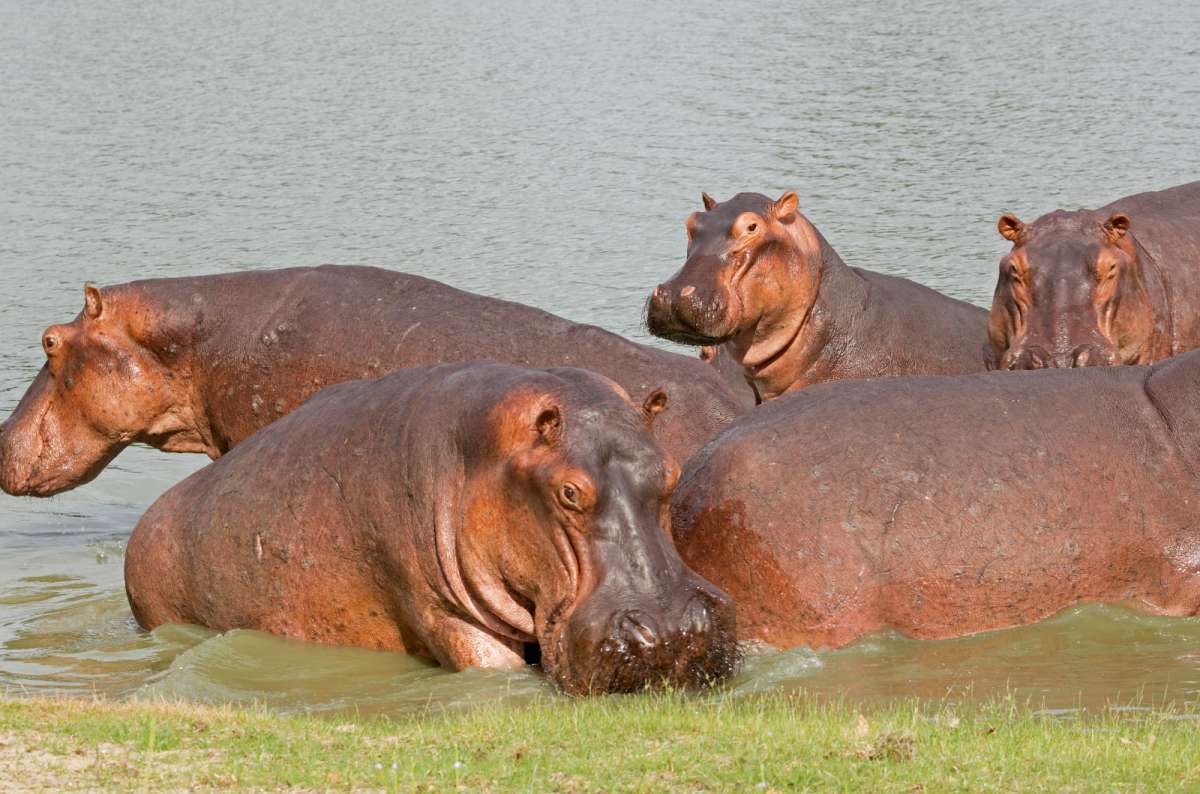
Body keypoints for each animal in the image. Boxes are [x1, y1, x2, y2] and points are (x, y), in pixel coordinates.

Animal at [125, 363, 738, 695]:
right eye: (568, 491)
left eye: (671, 471)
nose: (673, 629)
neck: (486, 455)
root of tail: (147, 519)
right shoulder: (439, 610)